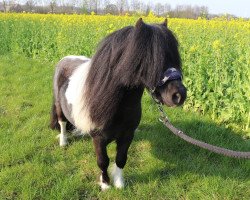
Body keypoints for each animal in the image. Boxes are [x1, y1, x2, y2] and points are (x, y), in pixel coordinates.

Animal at [50, 18, 186, 191]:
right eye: (151, 59)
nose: (179, 95)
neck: (119, 106)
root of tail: (65, 59)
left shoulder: (127, 135)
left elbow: (121, 158)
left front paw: (119, 183)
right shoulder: (99, 139)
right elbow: (103, 161)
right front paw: (105, 184)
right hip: (59, 106)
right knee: (62, 123)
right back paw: (63, 141)